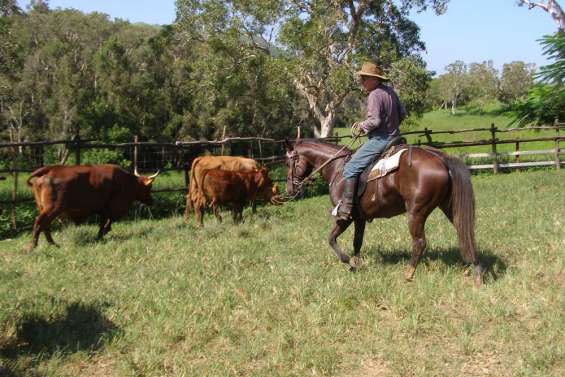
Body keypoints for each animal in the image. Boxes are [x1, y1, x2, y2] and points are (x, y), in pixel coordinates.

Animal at [25, 164, 159, 250]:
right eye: (149, 187)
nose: (152, 201)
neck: (127, 182)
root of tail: (51, 169)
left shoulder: (105, 208)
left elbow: (105, 221)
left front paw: (102, 233)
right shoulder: (112, 206)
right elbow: (107, 220)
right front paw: (102, 233)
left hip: (45, 208)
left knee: (45, 225)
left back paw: (52, 244)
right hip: (52, 208)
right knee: (40, 222)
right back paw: (34, 246)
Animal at [284, 140, 482, 286]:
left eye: (289, 162)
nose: (289, 189)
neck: (337, 167)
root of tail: (441, 159)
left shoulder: (345, 217)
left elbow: (331, 238)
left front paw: (348, 262)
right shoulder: (360, 218)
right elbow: (357, 242)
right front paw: (356, 263)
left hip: (416, 213)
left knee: (419, 243)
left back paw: (408, 274)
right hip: (449, 206)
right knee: (465, 233)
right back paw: (476, 272)